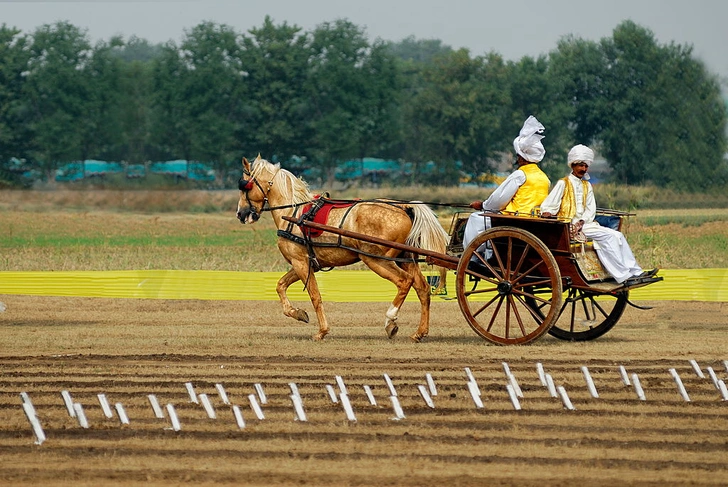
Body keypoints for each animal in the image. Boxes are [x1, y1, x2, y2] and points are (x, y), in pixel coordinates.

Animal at [236, 156, 450, 344]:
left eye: (245, 185)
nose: (241, 214)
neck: (293, 213)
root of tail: (403, 207)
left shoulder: (300, 263)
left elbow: (315, 296)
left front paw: (322, 331)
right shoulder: (307, 264)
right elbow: (280, 285)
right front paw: (298, 313)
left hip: (376, 259)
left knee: (404, 282)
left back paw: (390, 321)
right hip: (405, 259)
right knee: (422, 289)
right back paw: (419, 333)